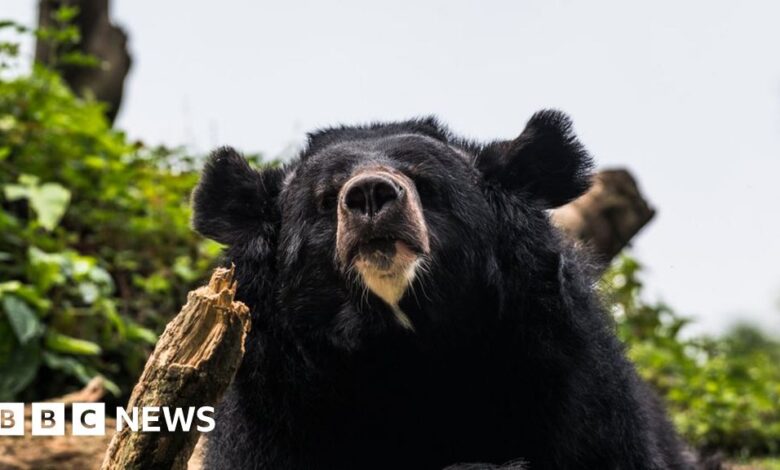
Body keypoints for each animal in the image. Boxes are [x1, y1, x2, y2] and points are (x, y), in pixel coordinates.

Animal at [192, 111, 692, 470]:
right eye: (325, 198)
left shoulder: (572, 382)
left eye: (426, 184)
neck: (405, 347)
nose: (370, 194)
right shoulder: (275, 409)